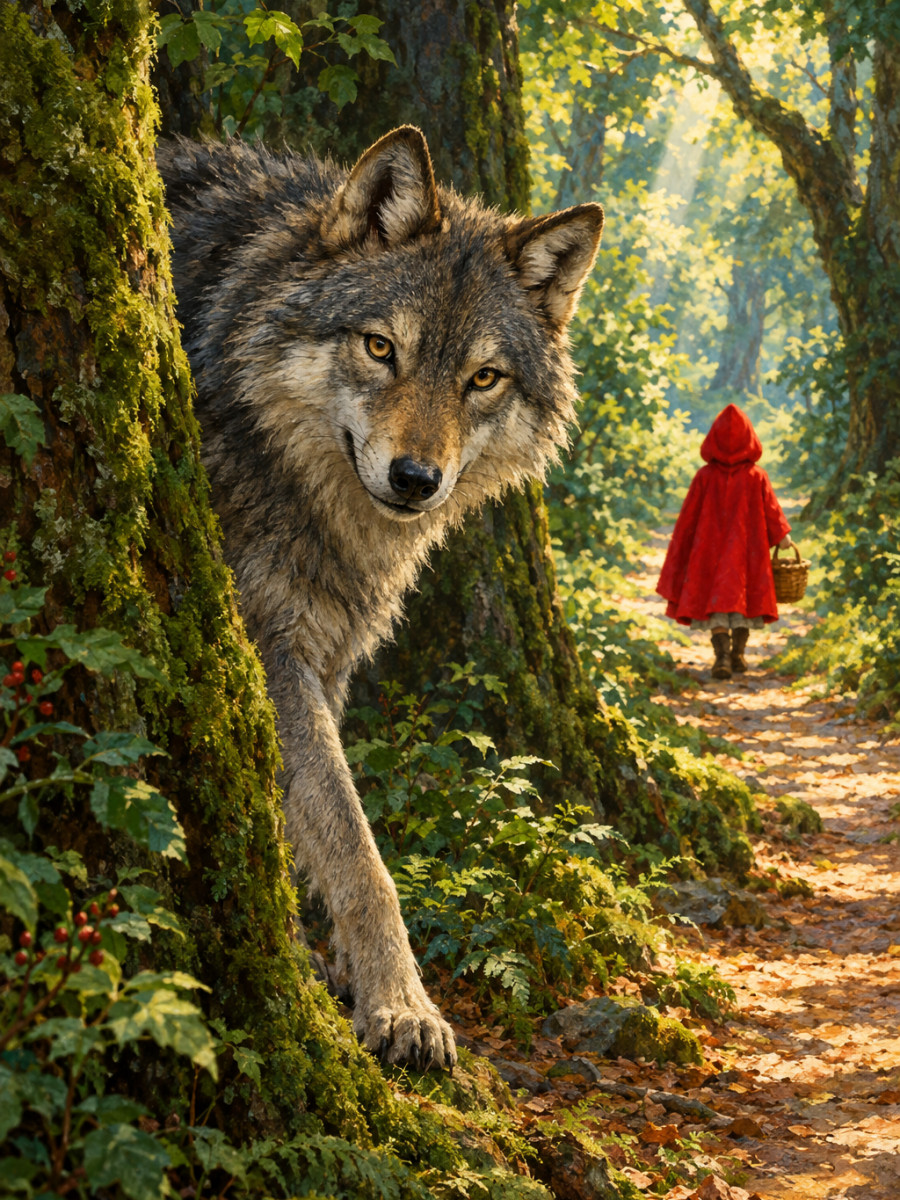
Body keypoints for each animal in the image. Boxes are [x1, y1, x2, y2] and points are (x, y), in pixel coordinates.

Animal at [158, 126, 603, 1071]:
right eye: (379, 348)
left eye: (482, 378)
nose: (415, 480)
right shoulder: (268, 642)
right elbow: (353, 841)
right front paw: (400, 1005)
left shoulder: (324, 655)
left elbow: (312, 822)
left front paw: (334, 968)